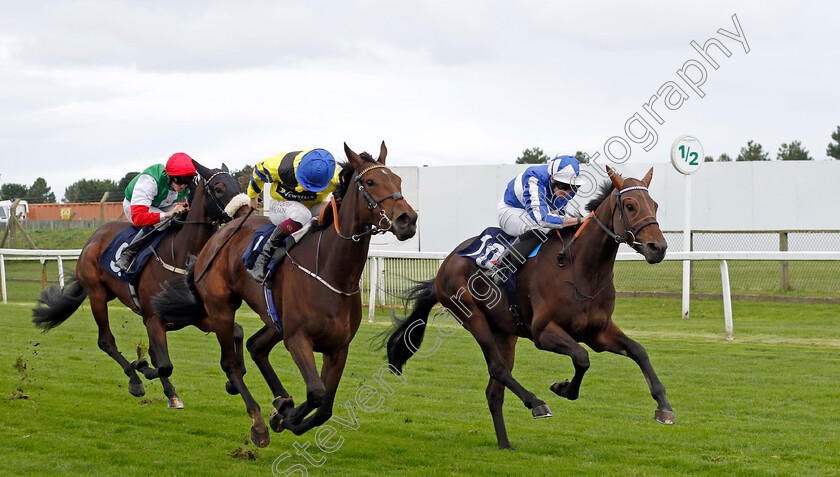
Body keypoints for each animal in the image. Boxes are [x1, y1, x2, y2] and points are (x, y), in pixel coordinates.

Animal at [32, 162, 249, 408]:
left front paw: (233, 380)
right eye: (219, 188)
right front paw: (141, 366)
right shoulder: (154, 319)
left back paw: (170, 393)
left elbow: (238, 331)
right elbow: (164, 365)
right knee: (106, 341)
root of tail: (93, 239)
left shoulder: (197, 316)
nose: (246, 211)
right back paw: (135, 380)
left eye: (238, 184)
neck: (180, 255)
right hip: (97, 295)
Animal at [153, 141, 416, 446]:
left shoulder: (338, 346)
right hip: (221, 309)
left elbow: (325, 406)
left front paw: (285, 413)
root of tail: (218, 237)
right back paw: (258, 422)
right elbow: (316, 392)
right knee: (231, 363)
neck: (331, 270)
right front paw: (283, 417)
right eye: (371, 182)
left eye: (398, 180)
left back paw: (280, 399)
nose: (408, 219)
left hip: (273, 319)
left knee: (256, 346)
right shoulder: (298, 339)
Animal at [388, 165, 676, 448]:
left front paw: (664, 407)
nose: (658, 247)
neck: (580, 269)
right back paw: (536, 403)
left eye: (655, 205)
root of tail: (446, 263)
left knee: (494, 390)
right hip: (472, 318)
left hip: (505, 333)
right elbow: (582, 357)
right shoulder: (543, 332)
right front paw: (562, 388)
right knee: (497, 368)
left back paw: (505, 444)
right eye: (630, 205)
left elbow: (639, 351)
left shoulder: (598, 332)